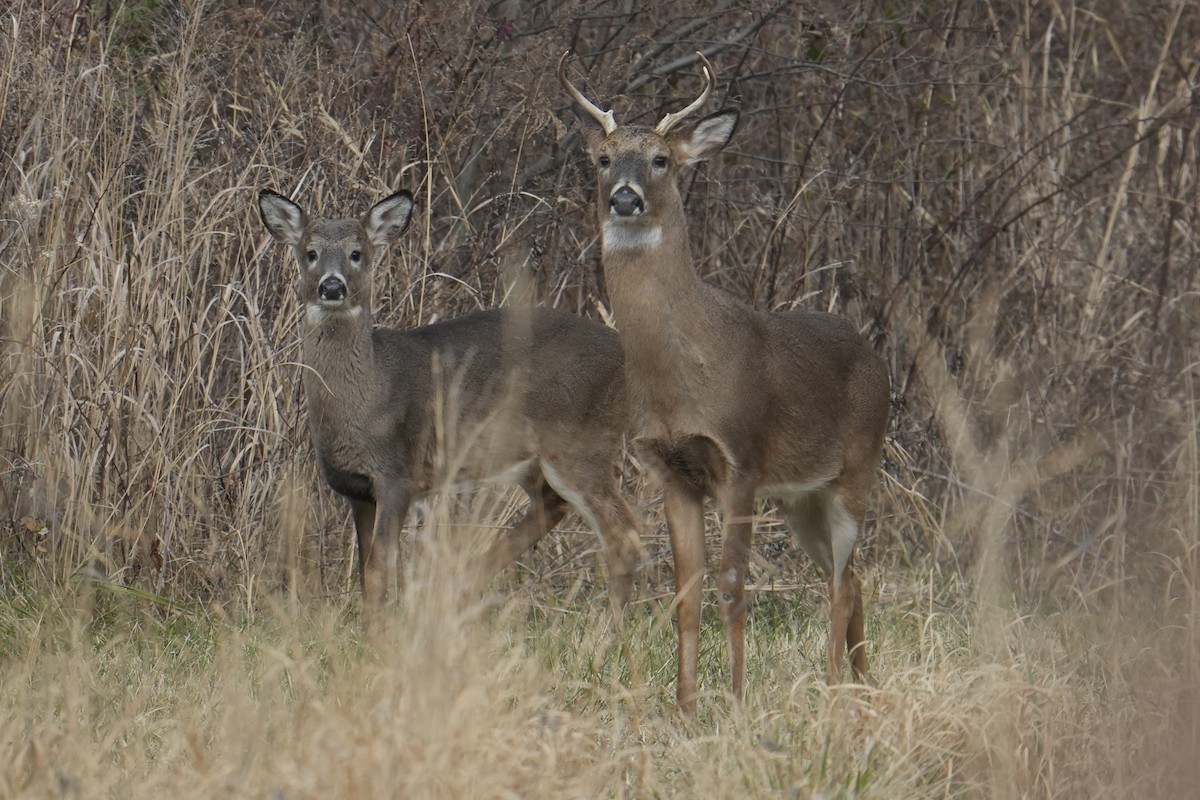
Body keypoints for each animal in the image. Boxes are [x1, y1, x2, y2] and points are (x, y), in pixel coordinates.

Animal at [257, 188, 643, 616]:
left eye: (357, 253)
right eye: (310, 252)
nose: (331, 286)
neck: (369, 395)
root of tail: (625, 351)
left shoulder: (398, 473)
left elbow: (379, 569)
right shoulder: (355, 489)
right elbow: (366, 575)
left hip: (583, 443)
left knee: (623, 535)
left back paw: (607, 627)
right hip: (532, 457)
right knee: (553, 506)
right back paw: (469, 583)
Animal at [560, 52, 891, 714]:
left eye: (661, 159)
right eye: (603, 158)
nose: (626, 198)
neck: (685, 374)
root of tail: (877, 357)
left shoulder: (741, 459)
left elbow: (733, 585)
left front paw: (736, 702)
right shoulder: (671, 470)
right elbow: (686, 593)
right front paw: (685, 707)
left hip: (856, 470)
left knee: (843, 582)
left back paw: (831, 688)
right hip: (802, 496)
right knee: (851, 575)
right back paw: (860, 681)